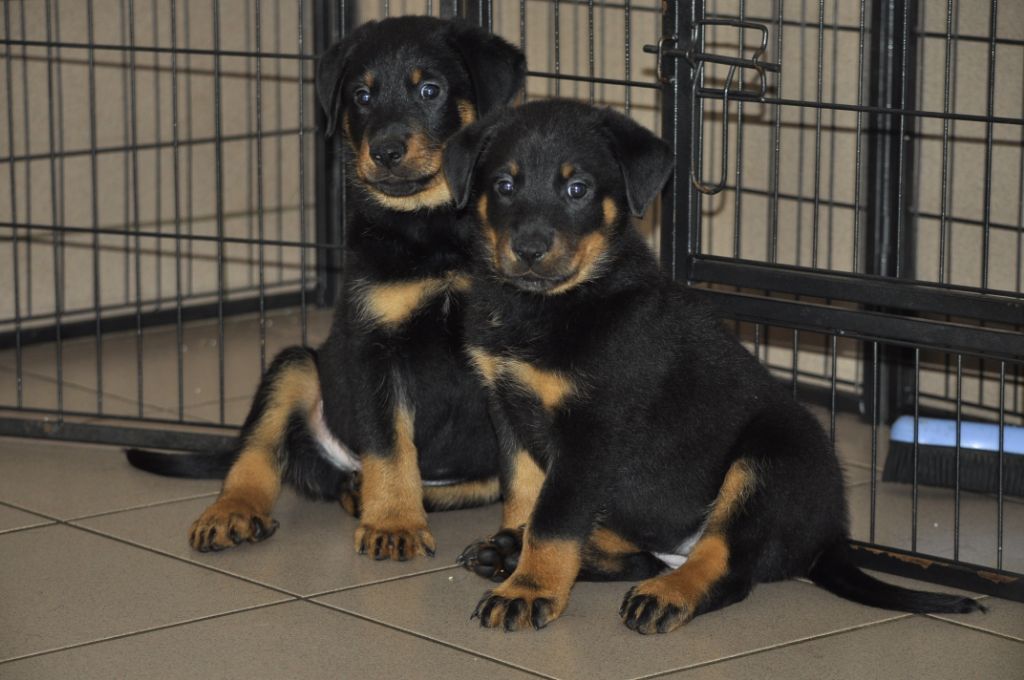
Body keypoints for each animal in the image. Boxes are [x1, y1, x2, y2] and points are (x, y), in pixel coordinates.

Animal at [126, 18, 524, 561]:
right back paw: (233, 513)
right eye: (362, 95)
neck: (435, 230)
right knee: (256, 454)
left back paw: (365, 496)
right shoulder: (375, 349)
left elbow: (526, 469)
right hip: (295, 367)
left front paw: (520, 542)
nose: (384, 151)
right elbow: (389, 446)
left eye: (430, 90)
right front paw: (394, 524)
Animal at [442, 99, 983, 630]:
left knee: (725, 565)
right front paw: (520, 551)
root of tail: (828, 539)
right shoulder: (507, 408)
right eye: (505, 185)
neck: (547, 307)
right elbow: (523, 493)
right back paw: (511, 552)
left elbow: (554, 521)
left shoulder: (589, 432)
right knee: (647, 555)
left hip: (768, 465)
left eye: (578, 189)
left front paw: (529, 590)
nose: (529, 249)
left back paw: (666, 596)